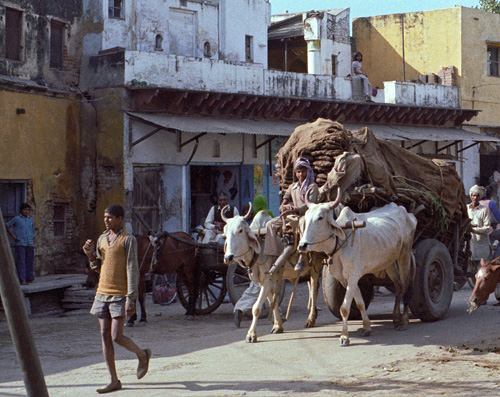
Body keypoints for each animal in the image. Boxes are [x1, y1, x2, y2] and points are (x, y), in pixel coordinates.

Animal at [224, 206, 324, 342]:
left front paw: (251, 334)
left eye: (240, 230)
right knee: (312, 288)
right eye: (225, 233)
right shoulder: (263, 282)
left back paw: (311, 319)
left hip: (315, 266)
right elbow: (273, 302)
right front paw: (278, 326)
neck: (259, 249)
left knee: (314, 291)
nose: (228, 257)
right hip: (308, 270)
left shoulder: (268, 279)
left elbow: (256, 308)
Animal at [298, 203, 416, 344]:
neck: (340, 243)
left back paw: (403, 321)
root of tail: (406, 212)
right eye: (305, 218)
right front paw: (366, 328)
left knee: (406, 287)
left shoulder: (353, 276)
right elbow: (360, 302)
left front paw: (344, 337)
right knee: (398, 286)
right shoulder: (344, 279)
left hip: (405, 255)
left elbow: (344, 308)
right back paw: (396, 317)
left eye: (320, 217)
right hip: (389, 262)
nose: (302, 245)